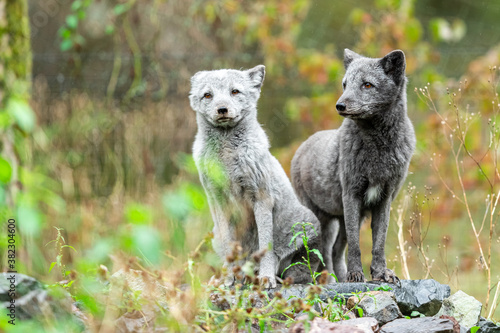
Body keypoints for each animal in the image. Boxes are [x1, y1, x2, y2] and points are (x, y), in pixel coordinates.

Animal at [189, 65, 322, 288]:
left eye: (235, 91)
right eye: (208, 95)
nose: (222, 109)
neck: (227, 159)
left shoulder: (262, 199)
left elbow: (266, 246)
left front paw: (266, 278)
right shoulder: (218, 203)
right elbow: (229, 248)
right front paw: (229, 278)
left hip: (307, 226)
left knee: (286, 263)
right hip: (216, 234)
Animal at [292, 49, 416, 282]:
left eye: (367, 85)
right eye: (345, 84)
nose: (340, 106)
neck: (378, 151)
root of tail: (302, 146)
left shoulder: (384, 199)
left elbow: (379, 243)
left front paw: (380, 273)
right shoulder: (352, 194)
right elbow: (356, 245)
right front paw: (356, 274)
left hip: (343, 219)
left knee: (333, 251)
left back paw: (338, 278)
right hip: (321, 220)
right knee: (320, 253)